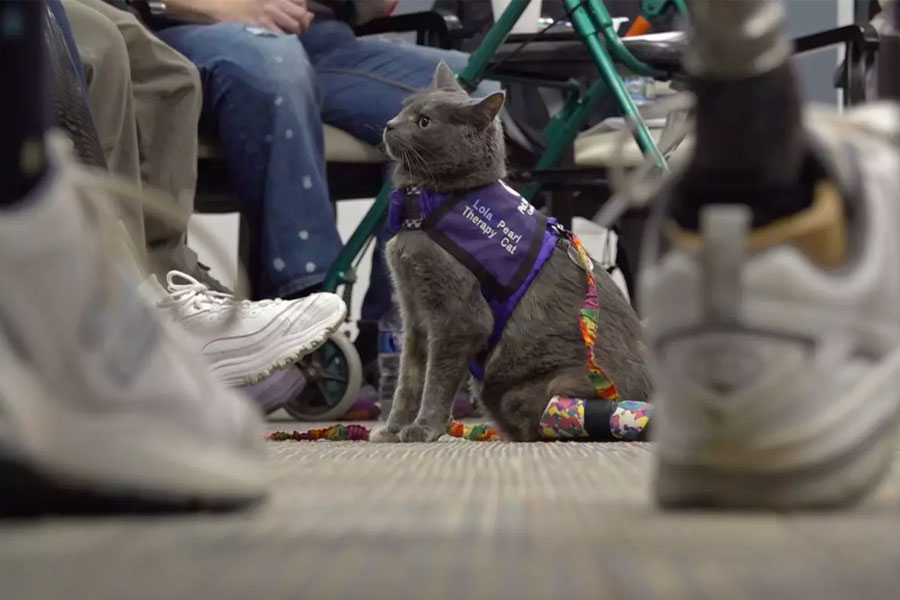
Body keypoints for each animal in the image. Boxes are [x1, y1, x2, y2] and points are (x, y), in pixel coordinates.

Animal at [370, 62, 652, 442]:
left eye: (425, 121)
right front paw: (393, 429)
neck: (426, 204)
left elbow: (436, 381)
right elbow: (409, 379)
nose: (390, 123)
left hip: (547, 387)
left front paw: (423, 428)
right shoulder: (413, 311)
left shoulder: (458, 318)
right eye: (404, 107)